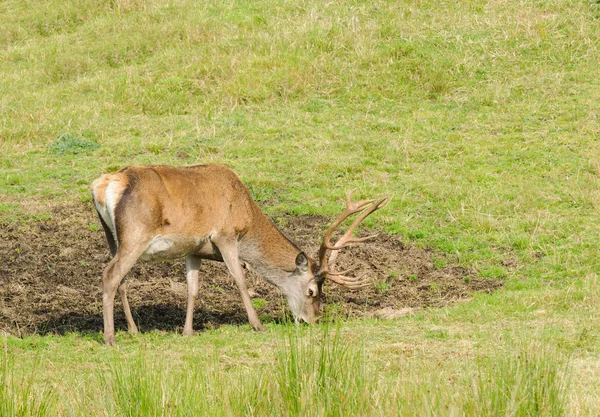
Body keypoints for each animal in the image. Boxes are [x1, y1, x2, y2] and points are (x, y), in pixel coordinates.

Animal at [91, 163, 386, 344]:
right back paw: (110, 337)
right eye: (312, 291)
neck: (247, 216)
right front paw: (258, 324)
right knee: (110, 274)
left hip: (112, 236)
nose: (313, 320)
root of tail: (102, 186)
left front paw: (187, 331)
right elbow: (240, 279)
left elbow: (192, 288)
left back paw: (133, 330)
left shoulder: (194, 249)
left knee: (121, 280)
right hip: (136, 233)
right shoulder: (226, 235)